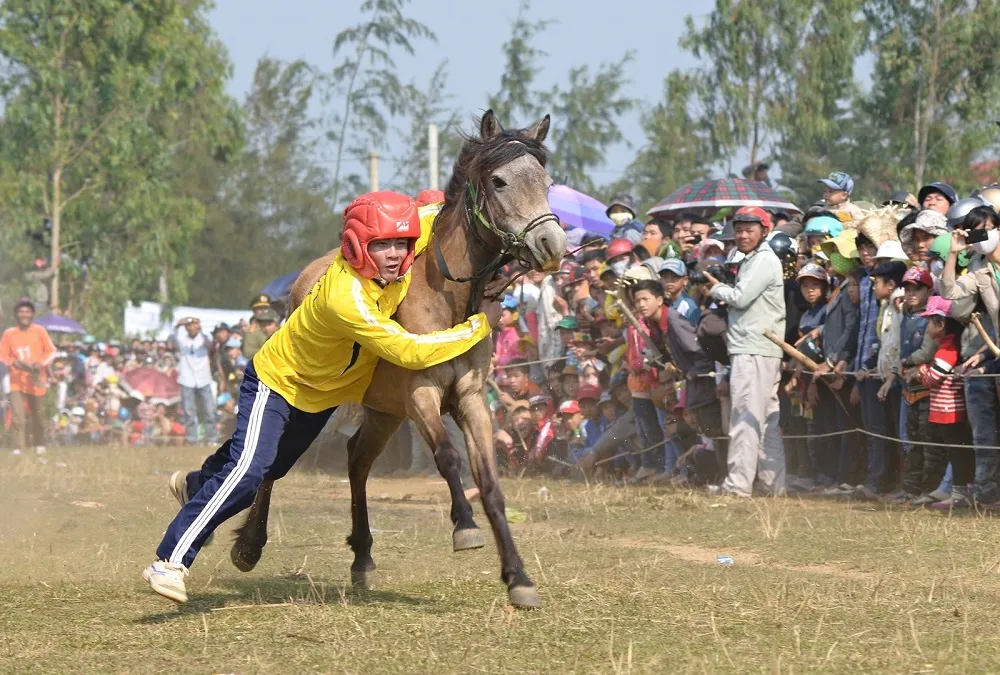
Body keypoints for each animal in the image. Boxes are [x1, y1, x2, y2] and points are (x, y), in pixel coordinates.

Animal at [229, 109, 568, 608]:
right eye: (500, 180)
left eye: (546, 182)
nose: (551, 244)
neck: (447, 299)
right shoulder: (421, 395)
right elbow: (447, 458)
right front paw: (464, 527)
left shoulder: (469, 400)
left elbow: (489, 483)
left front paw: (519, 578)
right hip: (313, 401)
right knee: (273, 460)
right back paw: (250, 545)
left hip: (384, 412)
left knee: (356, 458)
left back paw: (362, 557)